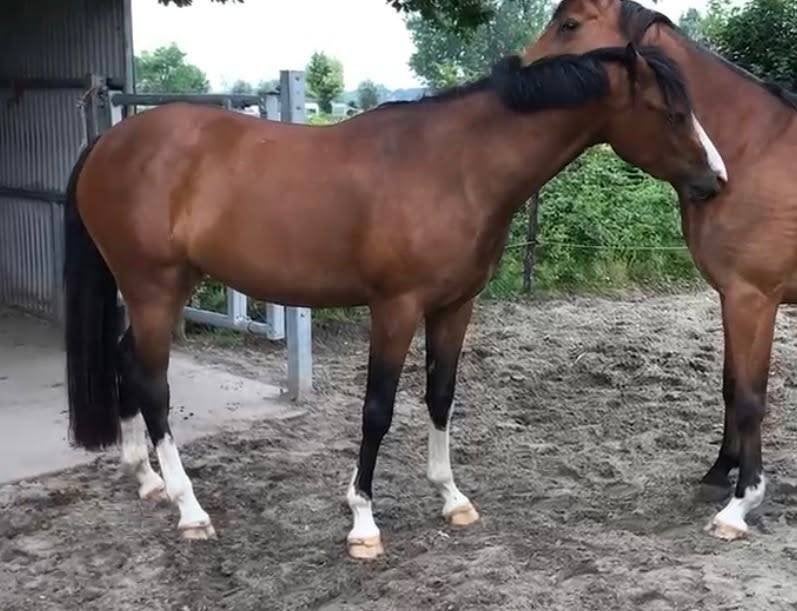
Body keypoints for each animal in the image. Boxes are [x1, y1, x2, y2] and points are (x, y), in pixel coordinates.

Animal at [64, 44, 726, 559]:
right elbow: (378, 410)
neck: (456, 168)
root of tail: (110, 141)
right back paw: (189, 508)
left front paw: (452, 498)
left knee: (125, 359)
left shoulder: (455, 307)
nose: (717, 181)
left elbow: (440, 397)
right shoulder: (395, 308)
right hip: (154, 288)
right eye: (672, 112)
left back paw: (145, 478)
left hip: (159, 291)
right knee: (153, 386)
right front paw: (363, 520)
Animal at [522, 0, 797, 542]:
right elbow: (730, 386)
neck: (750, 151)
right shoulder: (728, 296)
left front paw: (741, 503)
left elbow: (751, 398)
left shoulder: (754, 298)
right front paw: (719, 472)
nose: (518, 82)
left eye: (569, 24)